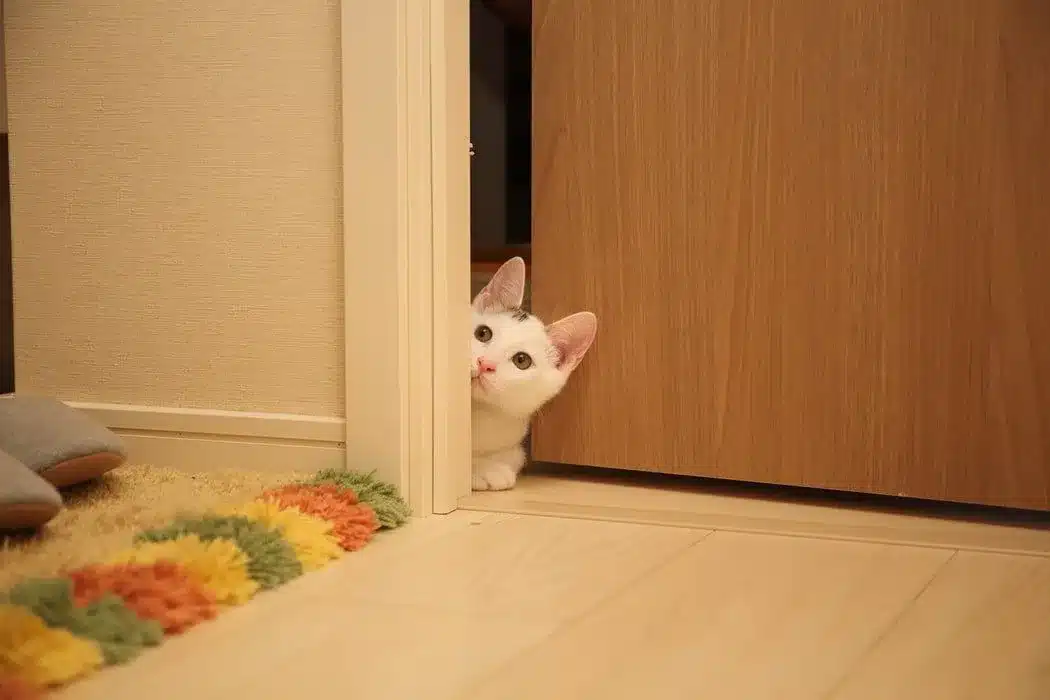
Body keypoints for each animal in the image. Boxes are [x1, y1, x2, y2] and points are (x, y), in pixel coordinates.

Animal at [470, 255, 596, 491]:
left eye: (522, 360)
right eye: (483, 333)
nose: (485, 364)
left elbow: (515, 456)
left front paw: (491, 467)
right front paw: (481, 469)